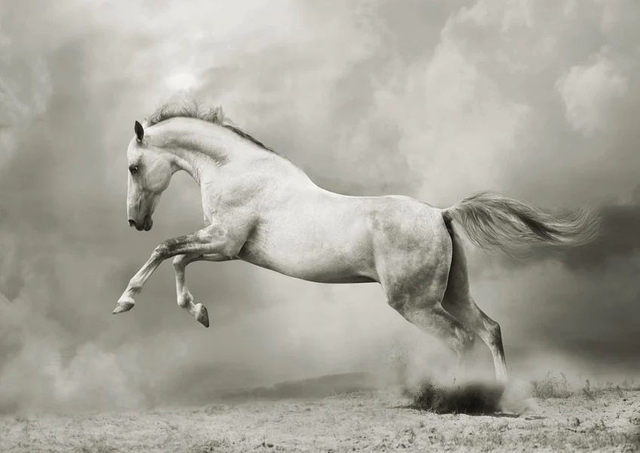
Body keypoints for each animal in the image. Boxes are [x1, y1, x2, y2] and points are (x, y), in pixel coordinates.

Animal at [113, 102, 599, 383]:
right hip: (452, 293)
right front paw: (200, 313)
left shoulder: (225, 243)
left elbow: (166, 251)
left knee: (462, 339)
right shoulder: (221, 247)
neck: (237, 169)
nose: (136, 221)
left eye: (134, 167)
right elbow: (177, 260)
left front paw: (125, 302)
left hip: (414, 303)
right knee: (489, 330)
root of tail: (441, 214)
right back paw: (501, 396)